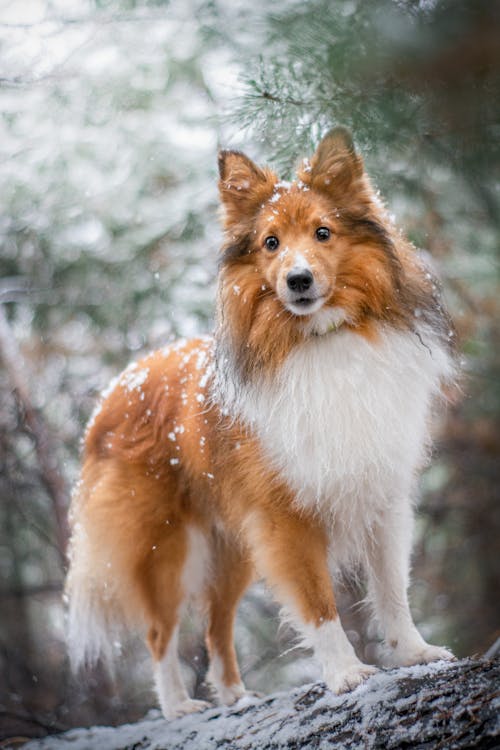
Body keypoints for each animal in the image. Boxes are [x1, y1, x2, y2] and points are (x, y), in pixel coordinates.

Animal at [67, 131, 458, 724]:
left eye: (323, 232)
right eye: (270, 243)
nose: (298, 280)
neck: (319, 339)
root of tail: (117, 388)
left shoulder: (381, 495)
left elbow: (392, 589)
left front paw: (414, 653)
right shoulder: (285, 517)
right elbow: (318, 602)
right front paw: (346, 674)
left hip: (231, 547)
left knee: (215, 624)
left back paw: (233, 695)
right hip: (164, 546)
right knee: (161, 633)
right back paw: (178, 706)